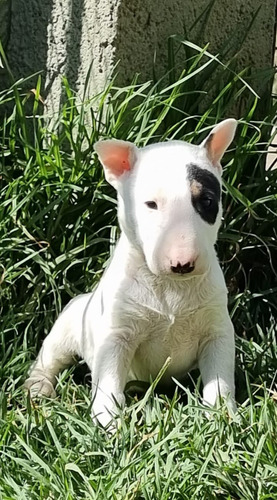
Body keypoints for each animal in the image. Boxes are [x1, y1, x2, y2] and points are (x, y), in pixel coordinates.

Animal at [24, 119, 237, 428]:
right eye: (151, 204)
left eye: (207, 201)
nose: (182, 264)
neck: (170, 287)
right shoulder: (116, 335)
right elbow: (109, 380)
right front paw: (107, 422)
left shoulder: (217, 330)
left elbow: (219, 378)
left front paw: (223, 417)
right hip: (65, 328)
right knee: (49, 357)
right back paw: (38, 386)